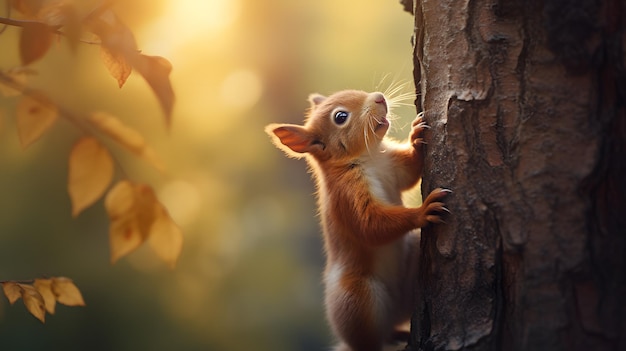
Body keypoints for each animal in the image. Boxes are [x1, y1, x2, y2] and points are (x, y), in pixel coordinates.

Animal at [264, 90, 448, 351]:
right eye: (340, 117)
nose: (379, 97)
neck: (370, 158)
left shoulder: (392, 166)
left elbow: (409, 173)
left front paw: (417, 136)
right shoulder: (347, 195)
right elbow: (370, 225)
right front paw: (422, 211)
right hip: (357, 298)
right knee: (370, 341)